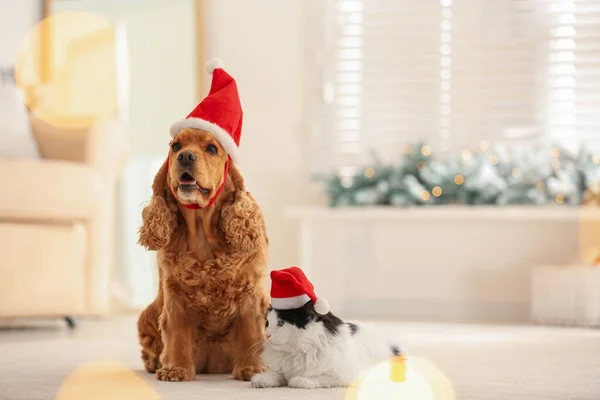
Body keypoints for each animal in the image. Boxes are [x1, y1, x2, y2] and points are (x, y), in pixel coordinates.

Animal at [137, 59, 268, 382]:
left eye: (211, 148)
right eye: (175, 146)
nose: (185, 156)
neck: (202, 235)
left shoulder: (251, 292)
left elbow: (250, 333)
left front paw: (252, 370)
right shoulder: (174, 295)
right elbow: (177, 334)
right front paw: (174, 369)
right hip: (146, 314)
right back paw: (155, 364)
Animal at [251, 302, 400, 390]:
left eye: (281, 323)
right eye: (267, 323)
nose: (266, 335)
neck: (296, 352)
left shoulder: (343, 376)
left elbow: (316, 378)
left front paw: (298, 380)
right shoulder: (280, 370)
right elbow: (272, 374)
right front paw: (258, 380)